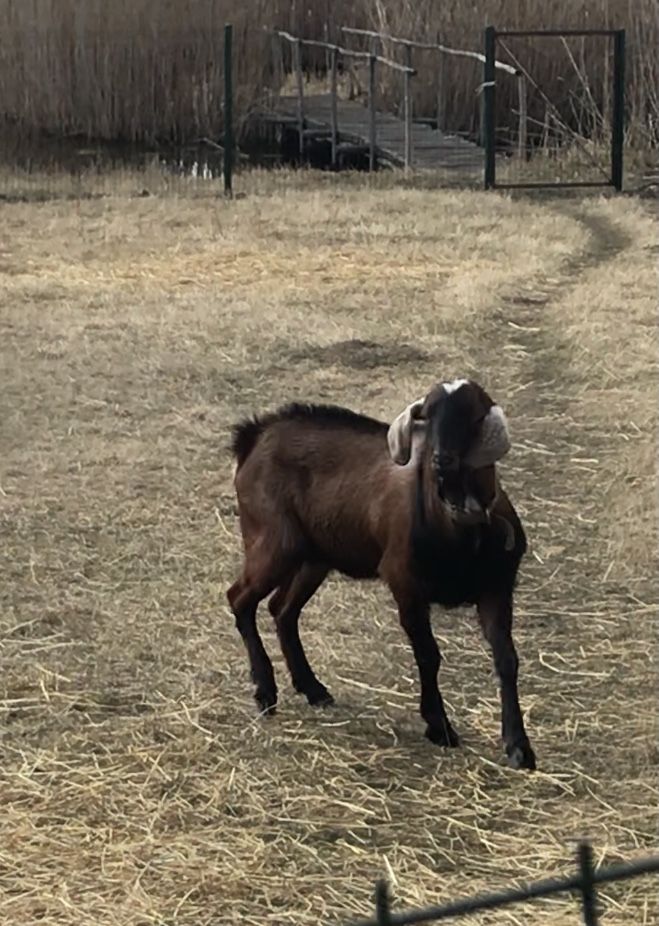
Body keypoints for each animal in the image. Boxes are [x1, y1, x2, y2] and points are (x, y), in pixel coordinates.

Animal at [227, 380, 536, 772]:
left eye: (474, 413)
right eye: (426, 415)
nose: (441, 460)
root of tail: (252, 436)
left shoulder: (497, 589)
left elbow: (507, 660)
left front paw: (519, 747)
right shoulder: (406, 585)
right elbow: (429, 656)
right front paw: (439, 727)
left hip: (315, 556)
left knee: (282, 609)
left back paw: (313, 688)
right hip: (271, 543)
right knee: (239, 598)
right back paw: (265, 691)